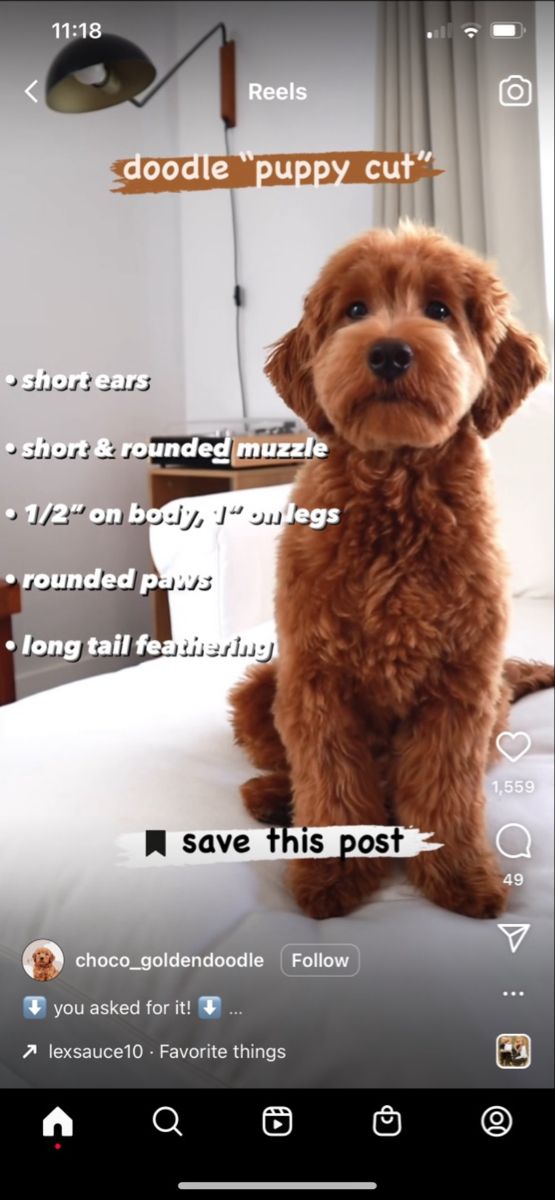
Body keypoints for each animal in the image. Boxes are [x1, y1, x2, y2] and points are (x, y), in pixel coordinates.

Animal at [228, 223, 550, 916]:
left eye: (439, 310)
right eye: (355, 310)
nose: (389, 354)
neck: (396, 489)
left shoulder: (459, 686)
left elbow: (444, 792)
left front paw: (458, 875)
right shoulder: (315, 678)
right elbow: (329, 783)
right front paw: (333, 875)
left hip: (492, 704)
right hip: (260, 688)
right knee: (290, 764)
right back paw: (274, 799)